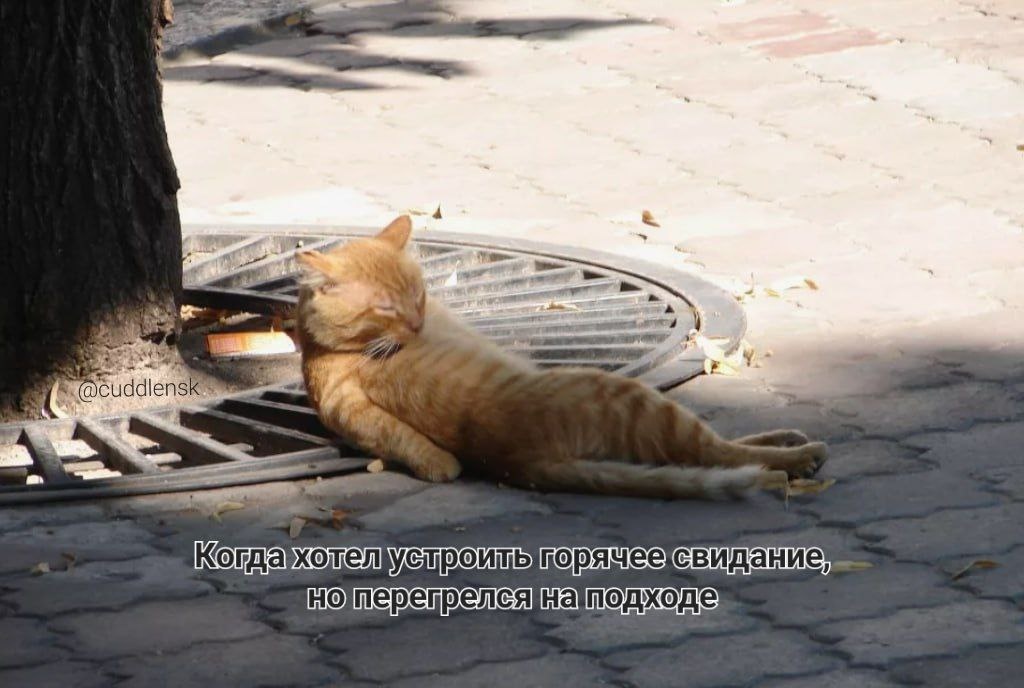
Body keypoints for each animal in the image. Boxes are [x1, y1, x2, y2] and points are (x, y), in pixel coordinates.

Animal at [296, 216, 827, 500]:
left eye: (419, 295)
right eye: (387, 308)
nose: (417, 325)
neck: (331, 349)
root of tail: (523, 462)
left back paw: (787, 439)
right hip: (638, 400)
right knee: (717, 452)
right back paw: (798, 457)